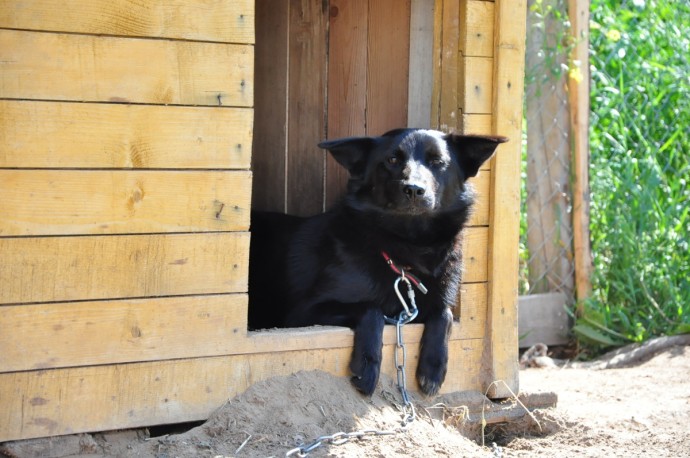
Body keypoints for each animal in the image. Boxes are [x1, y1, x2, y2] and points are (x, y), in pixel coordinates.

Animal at [249, 127, 506, 396]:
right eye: (392, 160)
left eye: (437, 161)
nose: (414, 189)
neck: (408, 249)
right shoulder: (303, 312)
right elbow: (372, 309)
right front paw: (367, 363)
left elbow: (443, 313)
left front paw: (433, 367)